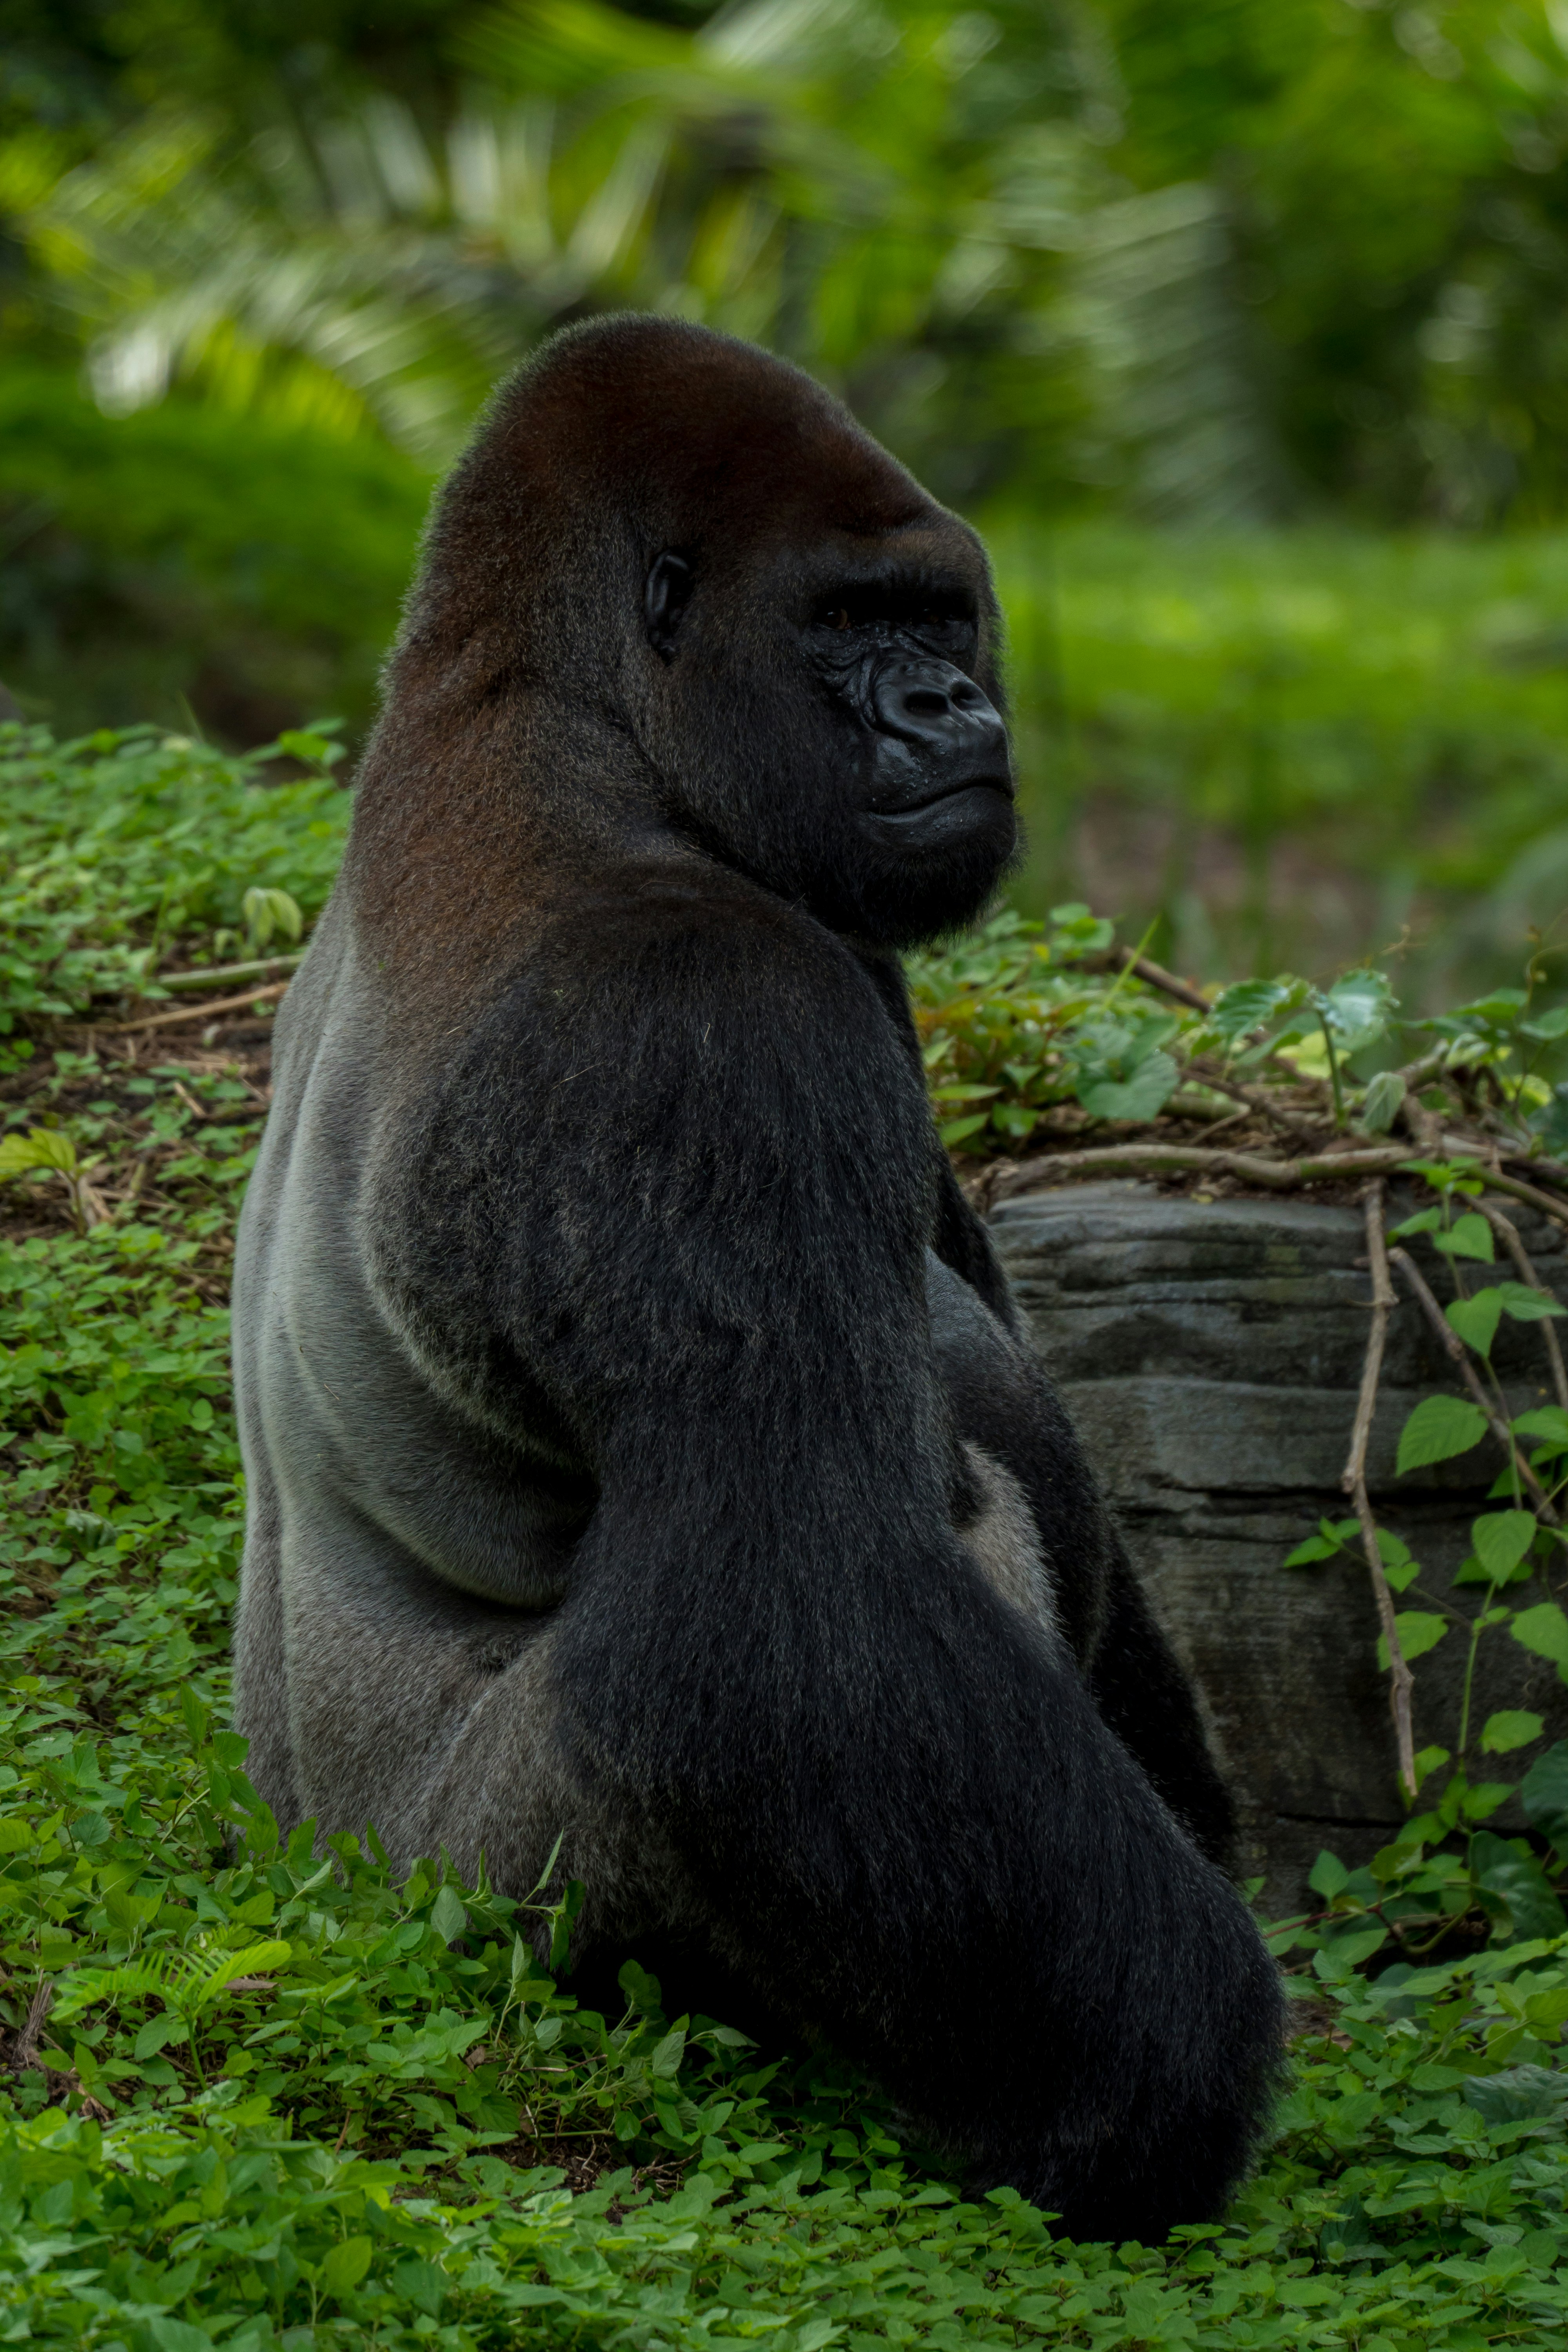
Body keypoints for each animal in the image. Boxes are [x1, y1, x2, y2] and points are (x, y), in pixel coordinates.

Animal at [231, 313, 1282, 2245]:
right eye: (846, 623)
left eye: (937, 619)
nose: (953, 711)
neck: (548, 717)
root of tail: (314, 1853)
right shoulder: (694, 1033)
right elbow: (775, 1613)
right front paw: (1162, 2091)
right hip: (497, 1900)